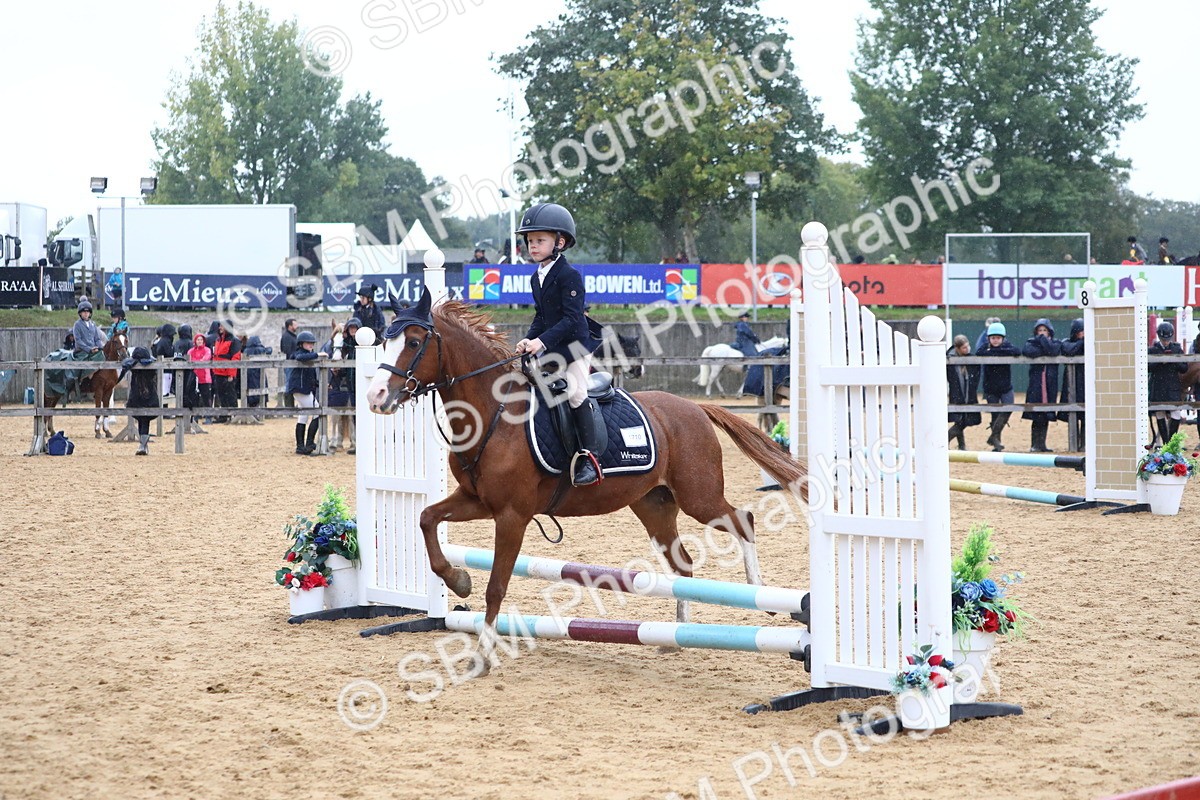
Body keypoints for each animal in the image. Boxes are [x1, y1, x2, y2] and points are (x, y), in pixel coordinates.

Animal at [365, 293, 809, 676]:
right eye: (385, 342)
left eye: (414, 341)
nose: (375, 397)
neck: (494, 412)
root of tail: (694, 407)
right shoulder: (475, 501)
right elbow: (426, 518)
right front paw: (458, 581)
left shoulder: (512, 516)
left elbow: (496, 587)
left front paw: (483, 655)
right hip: (654, 505)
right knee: (682, 560)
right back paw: (675, 637)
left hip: (699, 496)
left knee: (743, 519)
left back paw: (761, 596)